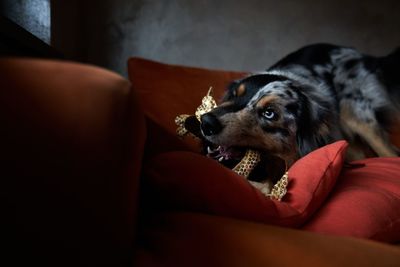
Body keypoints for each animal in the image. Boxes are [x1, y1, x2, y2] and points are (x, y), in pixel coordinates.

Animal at [200, 43, 400, 183]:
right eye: (235, 94)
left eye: (269, 113)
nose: (206, 122)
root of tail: (363, 55)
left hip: (357, 115)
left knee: (389, 152)